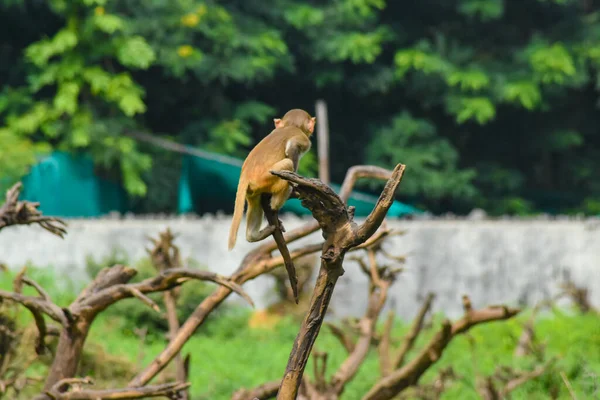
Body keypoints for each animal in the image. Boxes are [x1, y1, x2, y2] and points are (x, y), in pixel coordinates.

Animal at [227, 108, 316, 250]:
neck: (291, 126)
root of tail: (245, 175)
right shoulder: (304, 140)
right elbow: (291, 147)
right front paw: (295, 182)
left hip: (253, 189)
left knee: (255, 202)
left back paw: (254, 235)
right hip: (266, 178)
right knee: (288, 164)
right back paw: (275, 204)